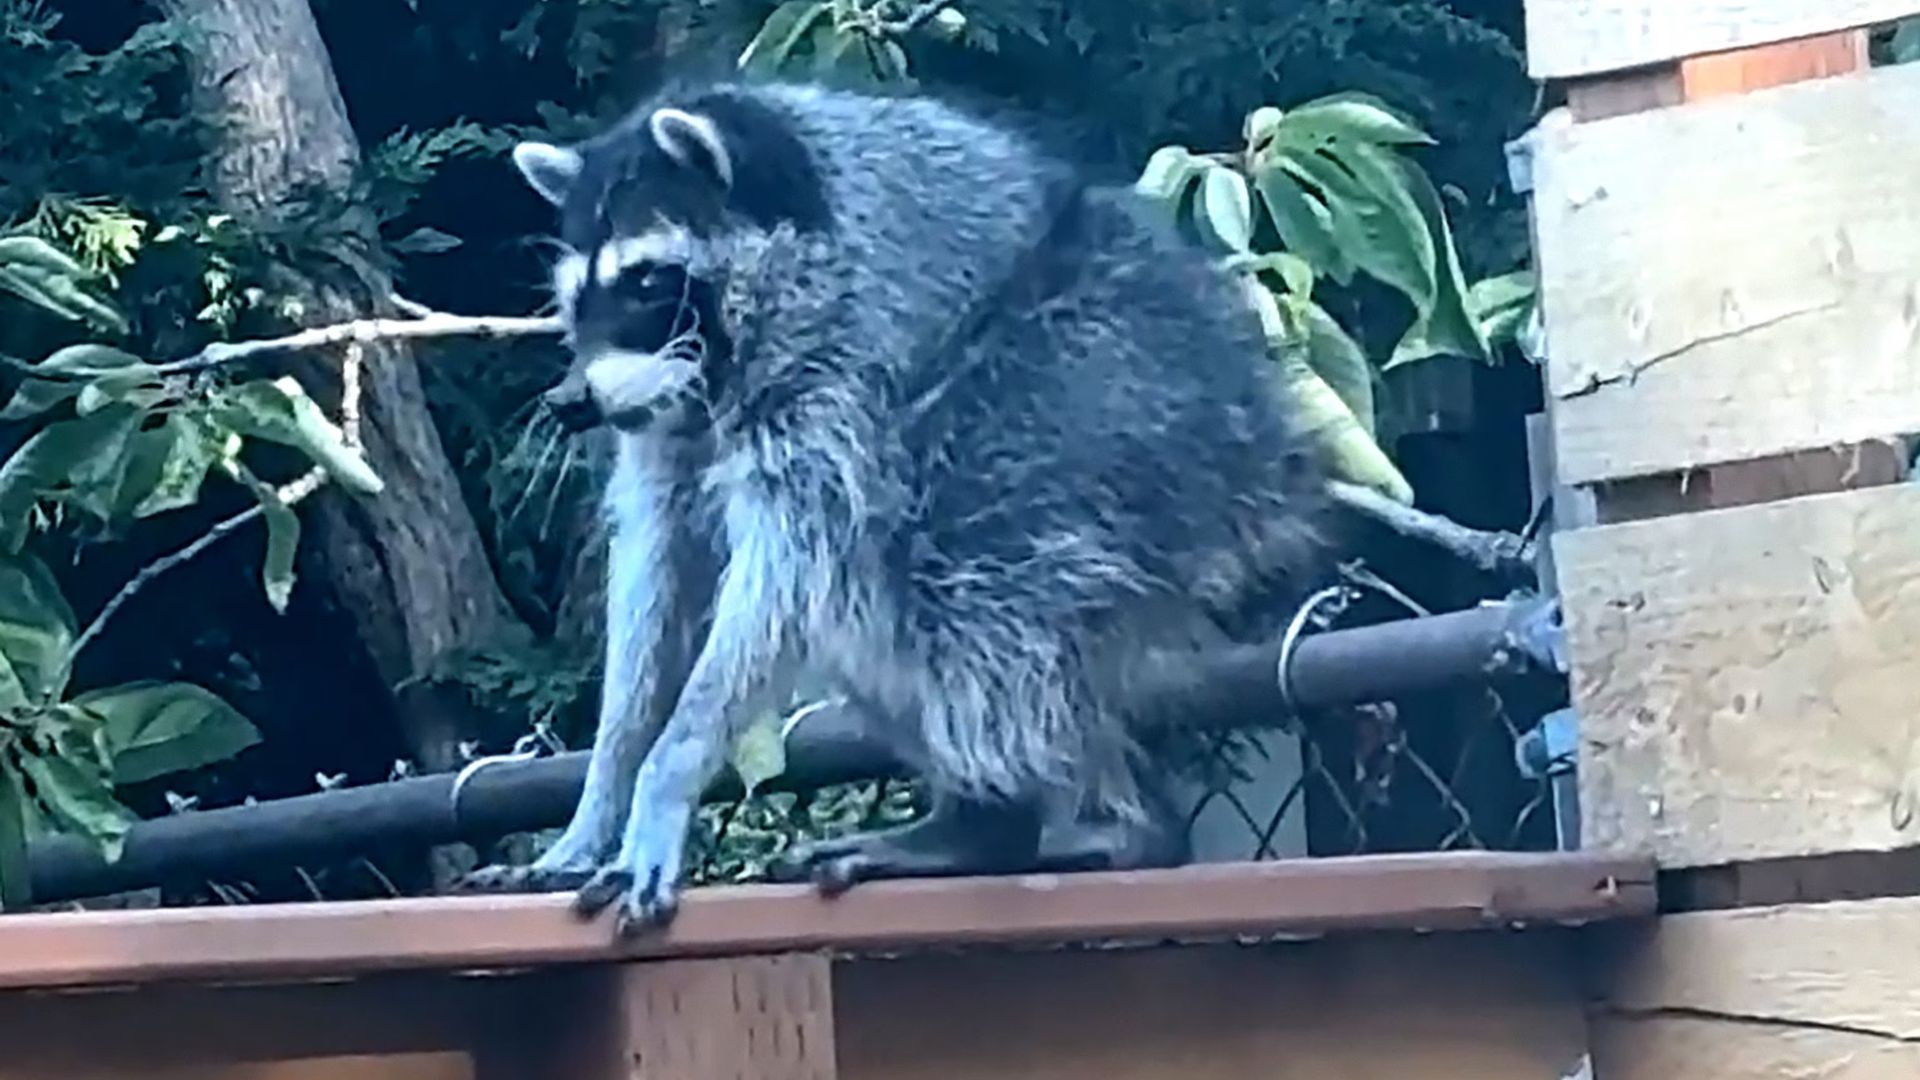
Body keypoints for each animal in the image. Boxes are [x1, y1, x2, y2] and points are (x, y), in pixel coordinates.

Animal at [461, 78, 1329, 936]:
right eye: (574, 298)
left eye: (645, 283)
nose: (570, 402)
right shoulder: (669, 430)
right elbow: (659, 573)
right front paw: (603, 792)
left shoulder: (840, 374)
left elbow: (780, 576)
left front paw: (670, 770)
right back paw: (1053, 823)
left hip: (1096, 408)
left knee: (946, 590)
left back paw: (1029, 824)